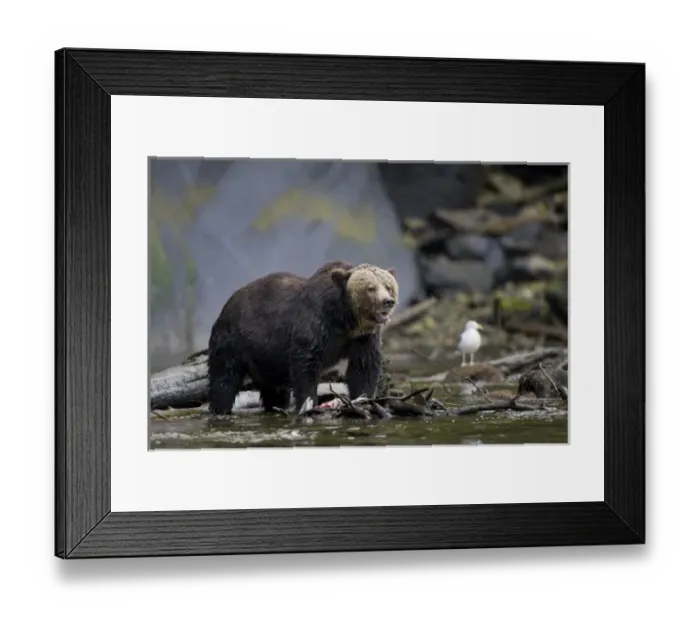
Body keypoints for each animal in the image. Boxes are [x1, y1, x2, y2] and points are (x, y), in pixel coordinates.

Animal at [206, 260, 399, 415]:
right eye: (371, 288)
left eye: (388, 286)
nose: (387, 302)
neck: (345, 319)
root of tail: (227, 304)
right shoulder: (315, 324)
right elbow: (305, 364)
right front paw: (309, 403)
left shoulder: (363, 337)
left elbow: (364, 367)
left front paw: (364, 399)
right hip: (234, 340)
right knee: (224, 378)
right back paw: (220, 409)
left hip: (267, 359)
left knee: (275, 390)